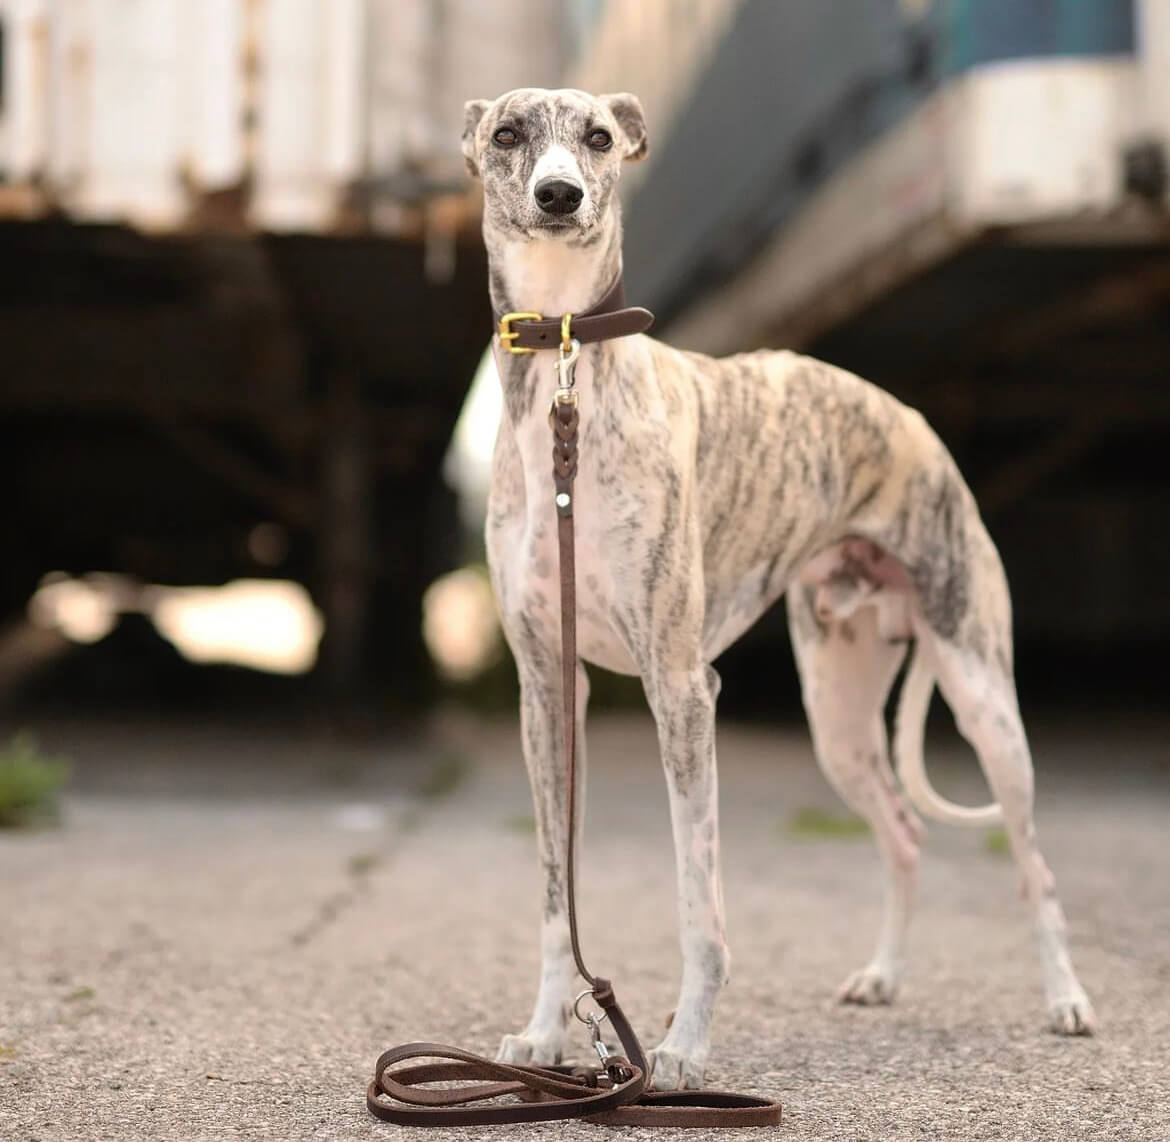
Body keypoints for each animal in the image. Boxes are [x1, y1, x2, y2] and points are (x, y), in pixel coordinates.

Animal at [458, 87, 1095, 1090]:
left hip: (983, 693)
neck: (567, 373)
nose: (560, 196)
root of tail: (913, 420)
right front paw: (546, 1035)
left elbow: (699, 899)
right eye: (508, 134)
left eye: (599, 137)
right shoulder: (547, 689)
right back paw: (881, 975)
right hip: (837, 709)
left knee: (1035, 862)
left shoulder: (683, 687)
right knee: (903, 834)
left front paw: (682, 1047)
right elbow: (559, 893)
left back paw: (1067, 997)